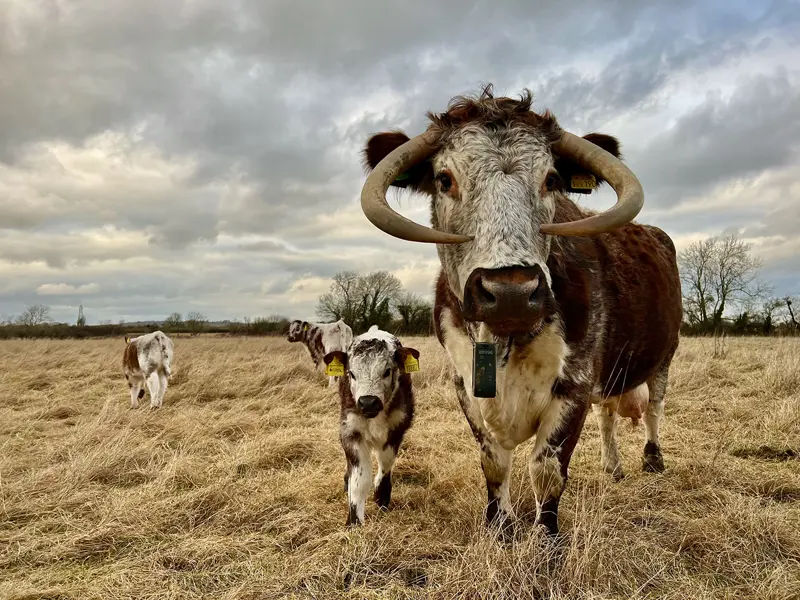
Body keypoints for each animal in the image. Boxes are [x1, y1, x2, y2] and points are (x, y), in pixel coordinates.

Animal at [323, 325, 419, 527]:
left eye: (387, 371)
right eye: (351, 374)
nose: (368, 403)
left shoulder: (397, 429)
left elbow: (385, 463)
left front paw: (382, 497)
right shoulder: (350, 432)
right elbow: (359, 480)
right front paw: (354, 522)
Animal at [358, 85, 682, 536]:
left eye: (551, 179)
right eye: (445, 179)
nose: (510, 292)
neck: (505, 338)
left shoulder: (575, 385)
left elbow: (546, 469)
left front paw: (546, 537)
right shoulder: (465, 385)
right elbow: (494, 463)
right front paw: (500, 525)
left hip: (664, 355)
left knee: (654, 407)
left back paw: (652, 459)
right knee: (609, 415)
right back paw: (612, 466)